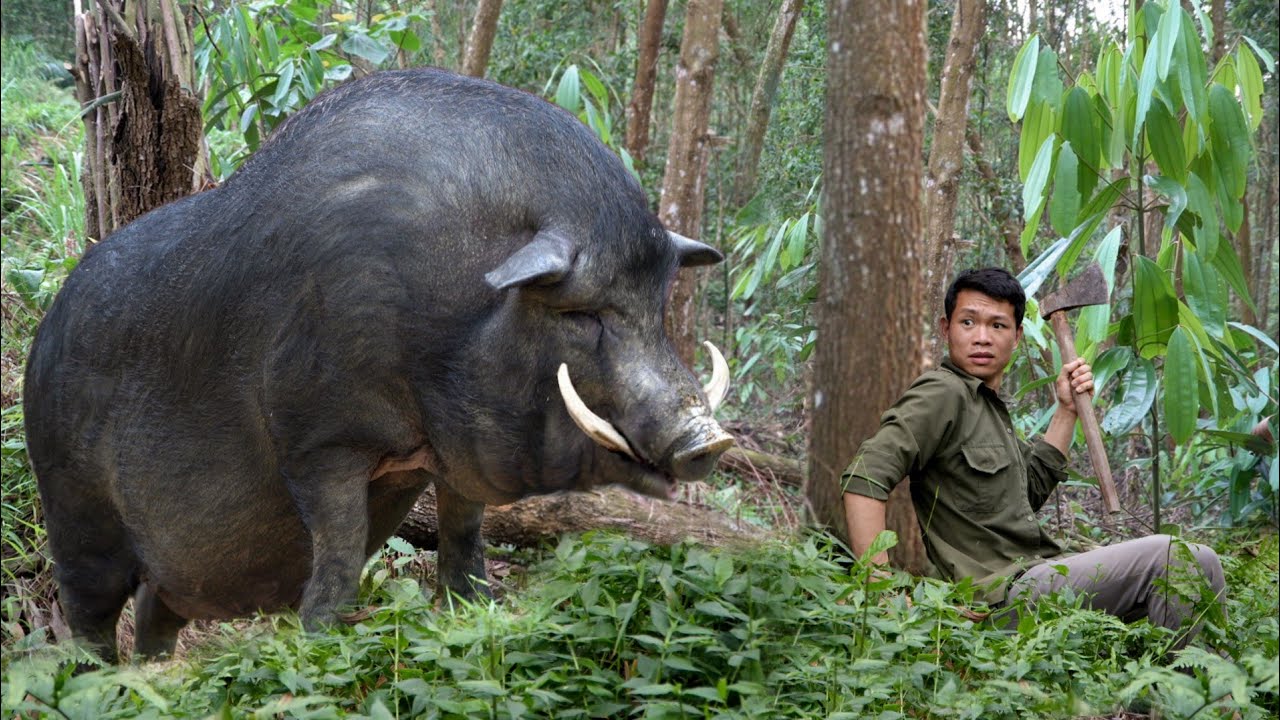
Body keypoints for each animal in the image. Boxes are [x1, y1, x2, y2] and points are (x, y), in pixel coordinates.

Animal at [23, 68, 733, 663]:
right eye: (581, 314)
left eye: (658, 301)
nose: (709, 440)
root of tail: (39, 339)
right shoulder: (319, 441)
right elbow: (337, 562)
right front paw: (318, 649)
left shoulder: (452, 458)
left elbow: (464, 544)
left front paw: (471, 617)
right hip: (73, 508)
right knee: (86, 615)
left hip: (163, 572)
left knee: (154, 611)